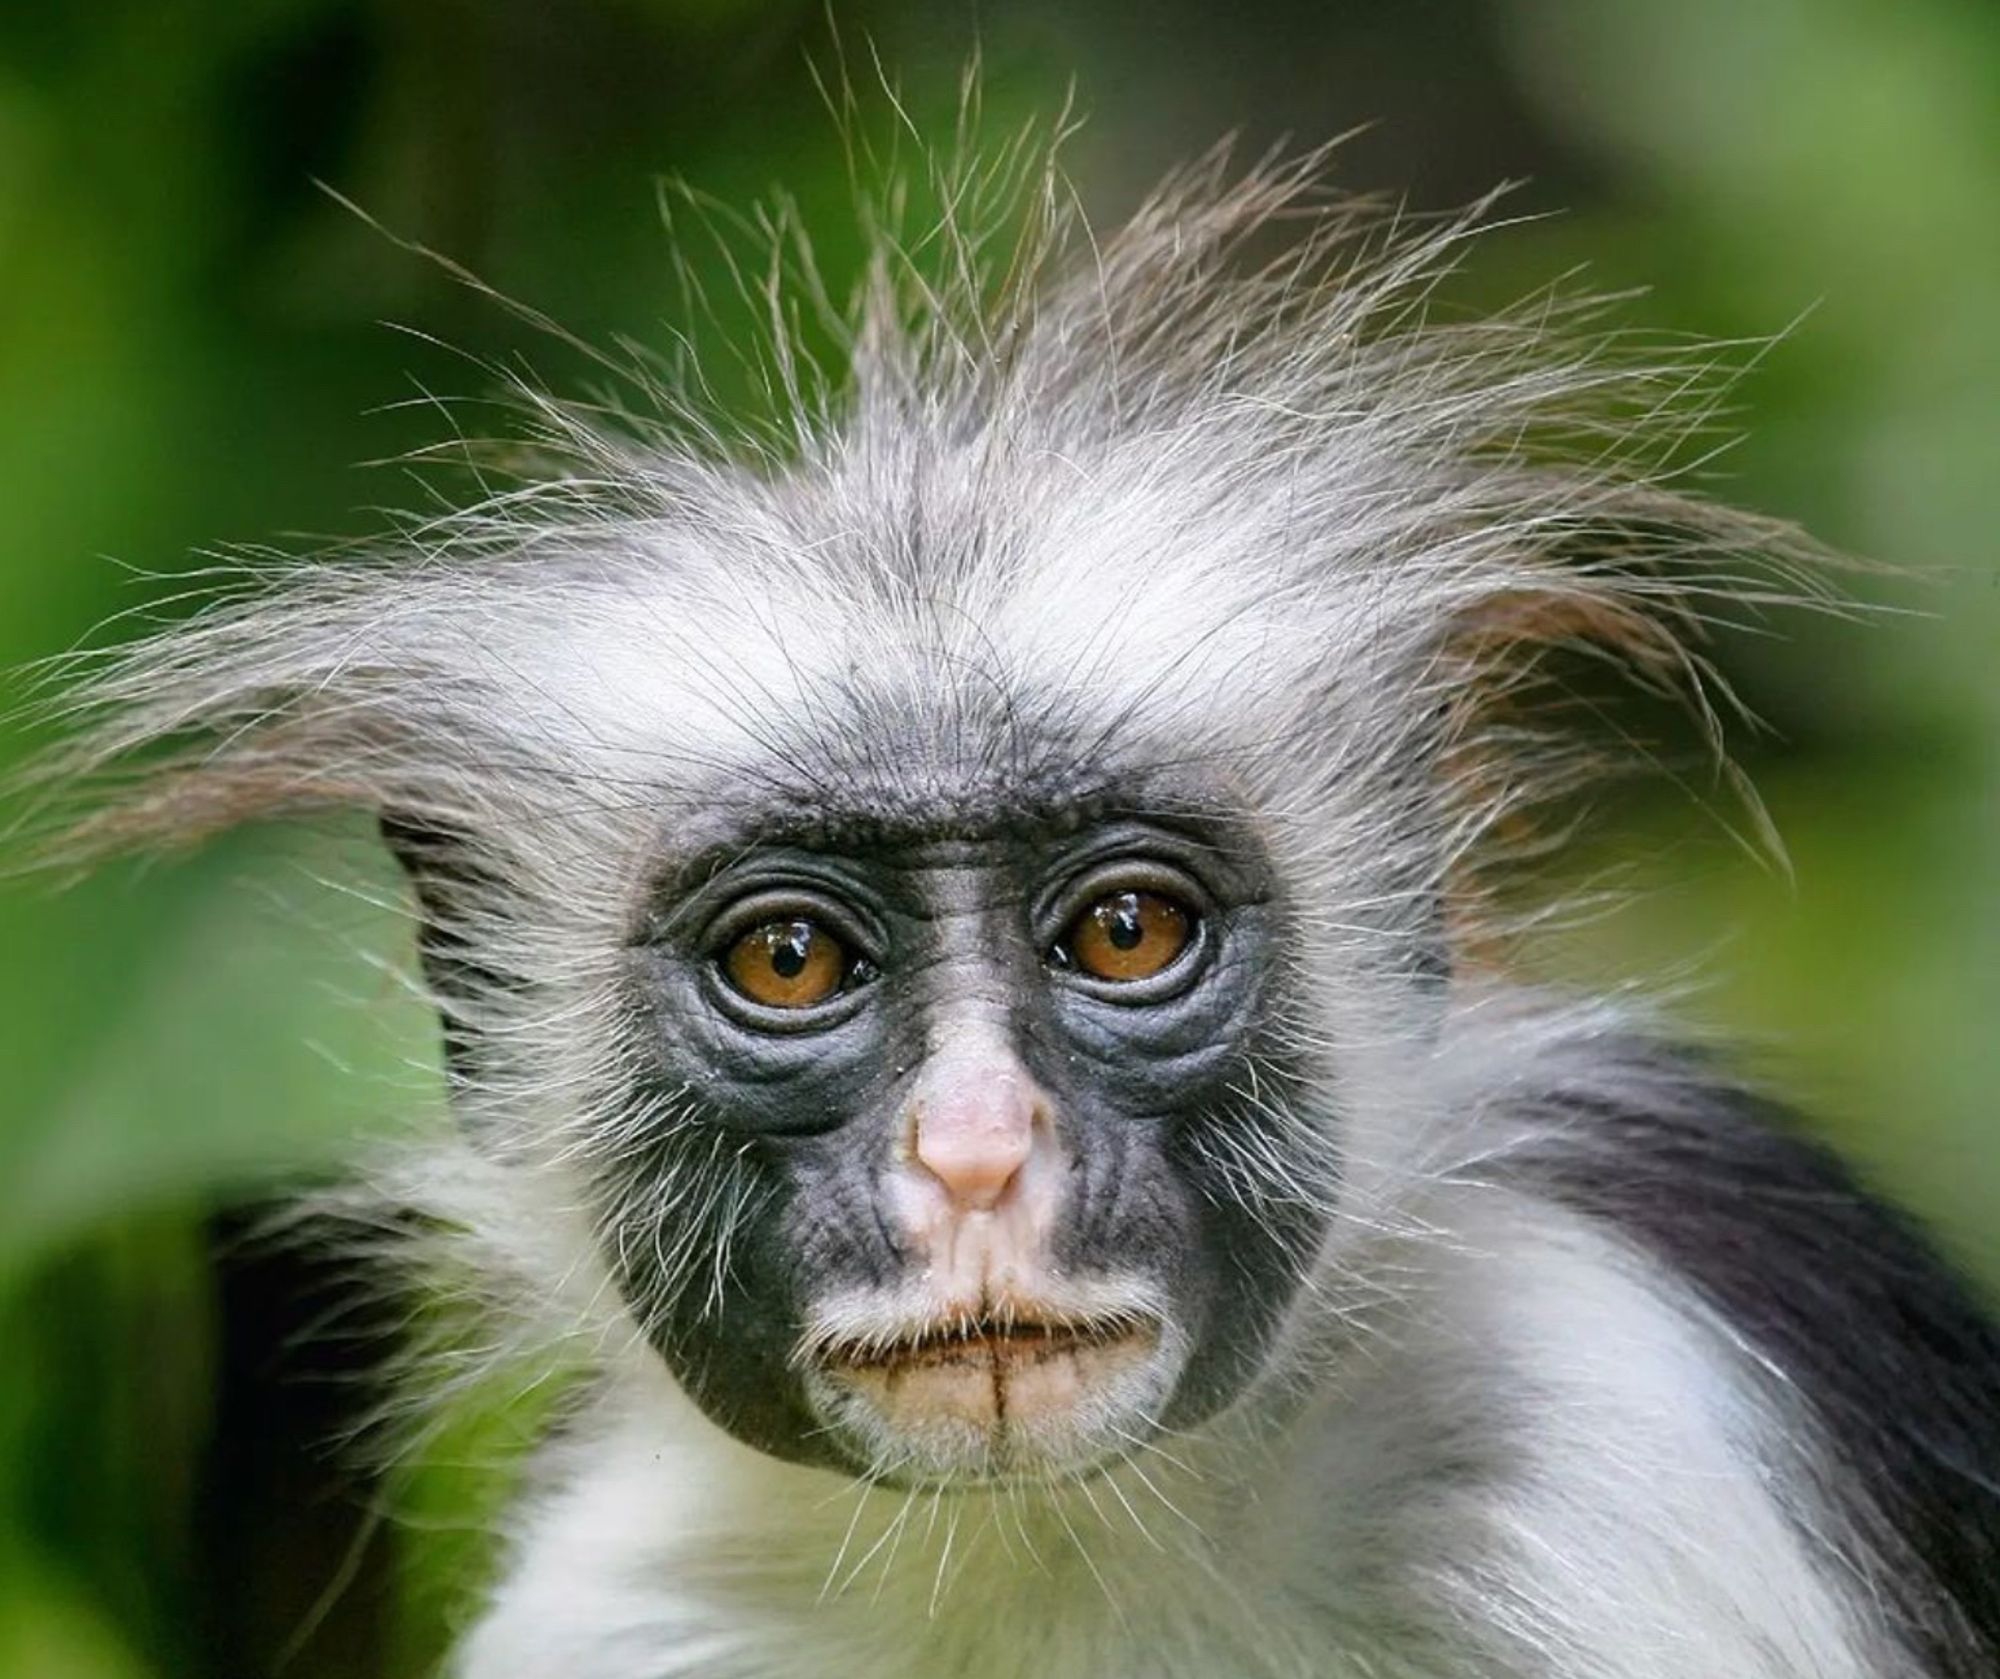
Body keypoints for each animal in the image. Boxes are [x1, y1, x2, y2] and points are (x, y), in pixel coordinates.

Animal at [23, 127, 2000, 1679]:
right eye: (790, 955)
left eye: (1126, 930)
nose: (973, 1154)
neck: (1065, 1536)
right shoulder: (617, 1601)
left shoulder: (1628, 1449)